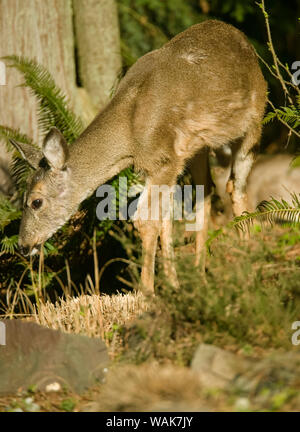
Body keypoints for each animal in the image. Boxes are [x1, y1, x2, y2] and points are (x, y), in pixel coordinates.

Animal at [9, 20, 268, 294]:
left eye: (36, 201)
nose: (23, 245)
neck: (130, 136)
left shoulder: (164, 160)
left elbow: (145, 218)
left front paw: (147, 292)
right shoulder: (159, 164)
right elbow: (164, 217)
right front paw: (172, 285)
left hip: (255, 120)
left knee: (235, 186)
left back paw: (250, 270)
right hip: (197, 147)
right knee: (204, 193)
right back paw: (200, 276)